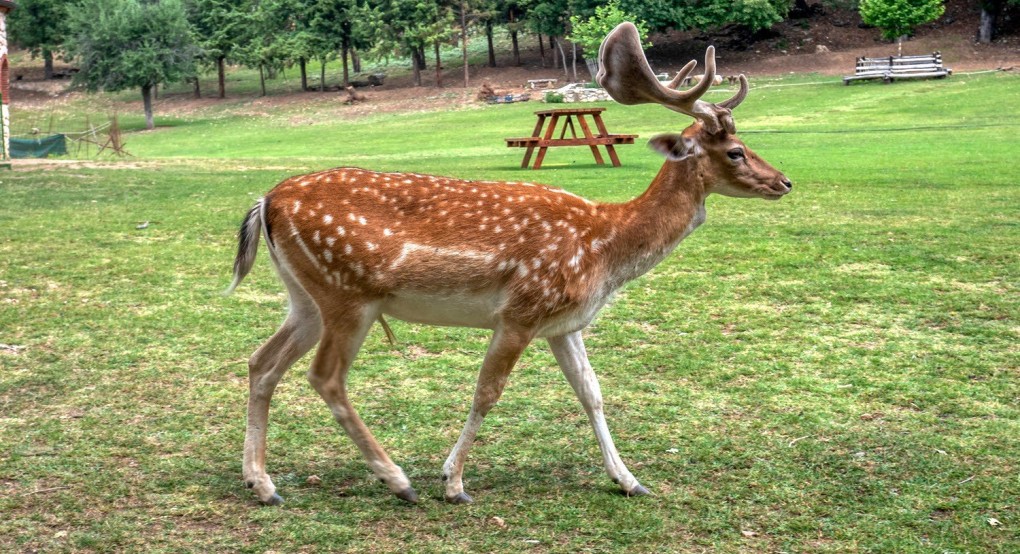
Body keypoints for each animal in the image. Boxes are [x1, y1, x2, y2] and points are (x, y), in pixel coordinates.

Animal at [227, 22, 791, 508]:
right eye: (736, 151)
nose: (784, 181)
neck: (605, 249)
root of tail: (266, 201)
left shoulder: (564, 323)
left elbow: (592, 393)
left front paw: (629, 479)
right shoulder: (520, 311)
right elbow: (487, 393)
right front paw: (453, 482)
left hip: (305, 296)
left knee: (261, 362)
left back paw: (262, 483)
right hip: (347, 292)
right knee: (325, 377)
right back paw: (397, 480)